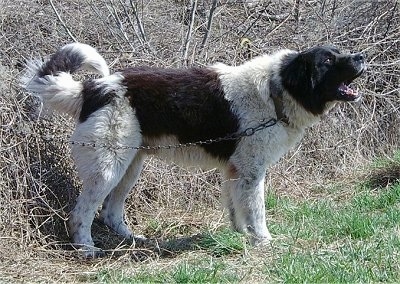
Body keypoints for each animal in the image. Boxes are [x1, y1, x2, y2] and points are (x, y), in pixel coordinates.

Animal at [21, 42, 366, 258]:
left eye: (338, 54)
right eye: (328, 61)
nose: (361, 57)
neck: (275, 91)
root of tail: (92, 89)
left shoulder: (235, 171)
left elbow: (237, 209)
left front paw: (240, 235)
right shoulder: (252, 172)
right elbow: (256, 211)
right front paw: (263, 241)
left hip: (129, 167)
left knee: (109, 211)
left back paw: (132, 239)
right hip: (107, 170)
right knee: (81, 214)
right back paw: (87, 250)